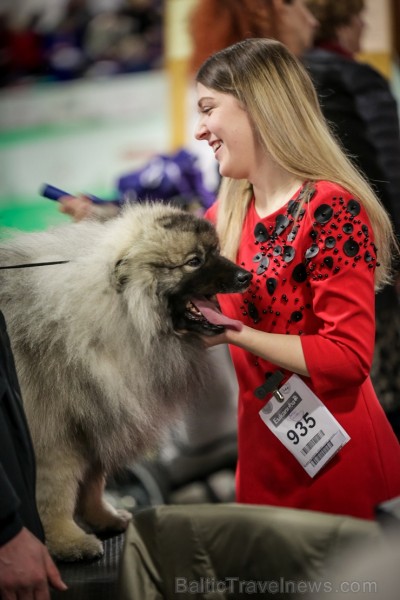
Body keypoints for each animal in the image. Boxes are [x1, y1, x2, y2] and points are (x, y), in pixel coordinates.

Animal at [0, 205, 250, 564]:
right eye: (194, 261)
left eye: (216, 252)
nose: (245, 276)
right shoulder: (56, 434)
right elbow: (55, 494)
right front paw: (67, 541)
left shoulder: (95, 417)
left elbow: (92, 484)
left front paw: (103, 518)